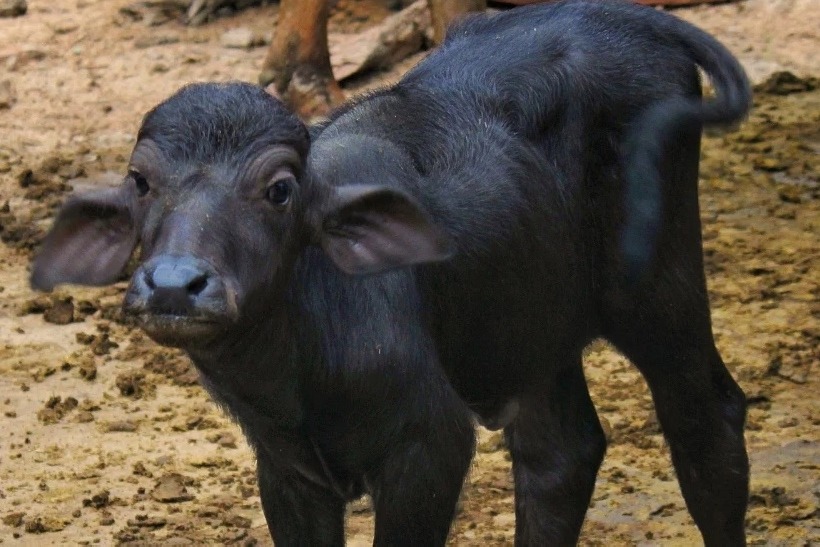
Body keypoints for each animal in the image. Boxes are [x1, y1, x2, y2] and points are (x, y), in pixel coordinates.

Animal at [32, 1, 752, 544]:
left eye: (280, 189)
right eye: (140, 181)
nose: (176, 285)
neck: (299, 365)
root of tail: (618, 14)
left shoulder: (428, 448)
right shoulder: (286, 470)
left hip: (659, 289)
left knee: (707, 423)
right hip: (529, 326)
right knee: (560, 456)